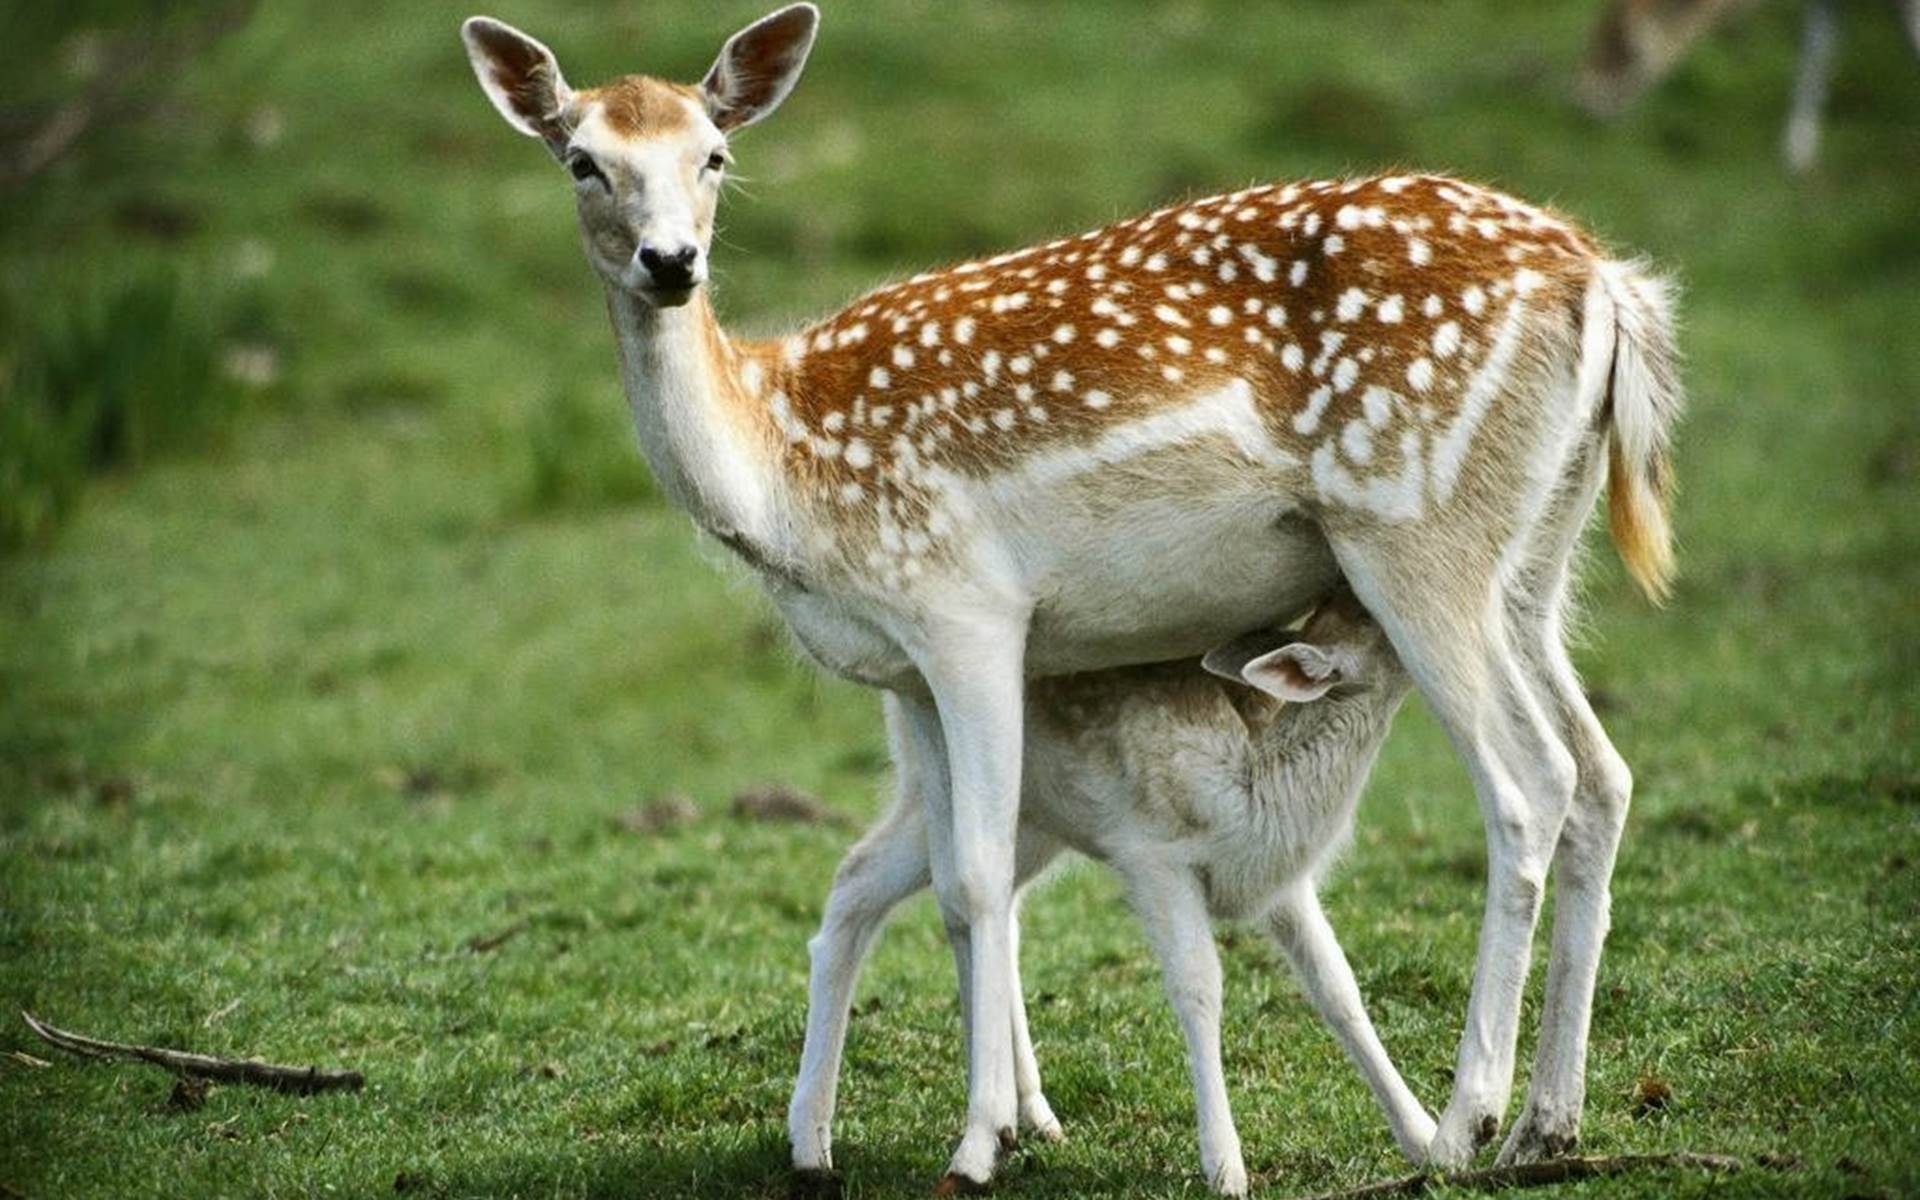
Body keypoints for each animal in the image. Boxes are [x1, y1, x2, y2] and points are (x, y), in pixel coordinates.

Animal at [790, 591, 1429, 1195]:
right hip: (932, 788)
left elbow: (1338, 986)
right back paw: (815, 1146)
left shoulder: (1280, 882)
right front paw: (1225, 1168)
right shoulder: (1154, 856)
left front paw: (1424, 1138)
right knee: (861, 878)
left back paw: (1035, 1115)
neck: (1257, 784)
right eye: (1370, 611)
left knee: (989, 907)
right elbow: (1199, 987)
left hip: (1035, 823)